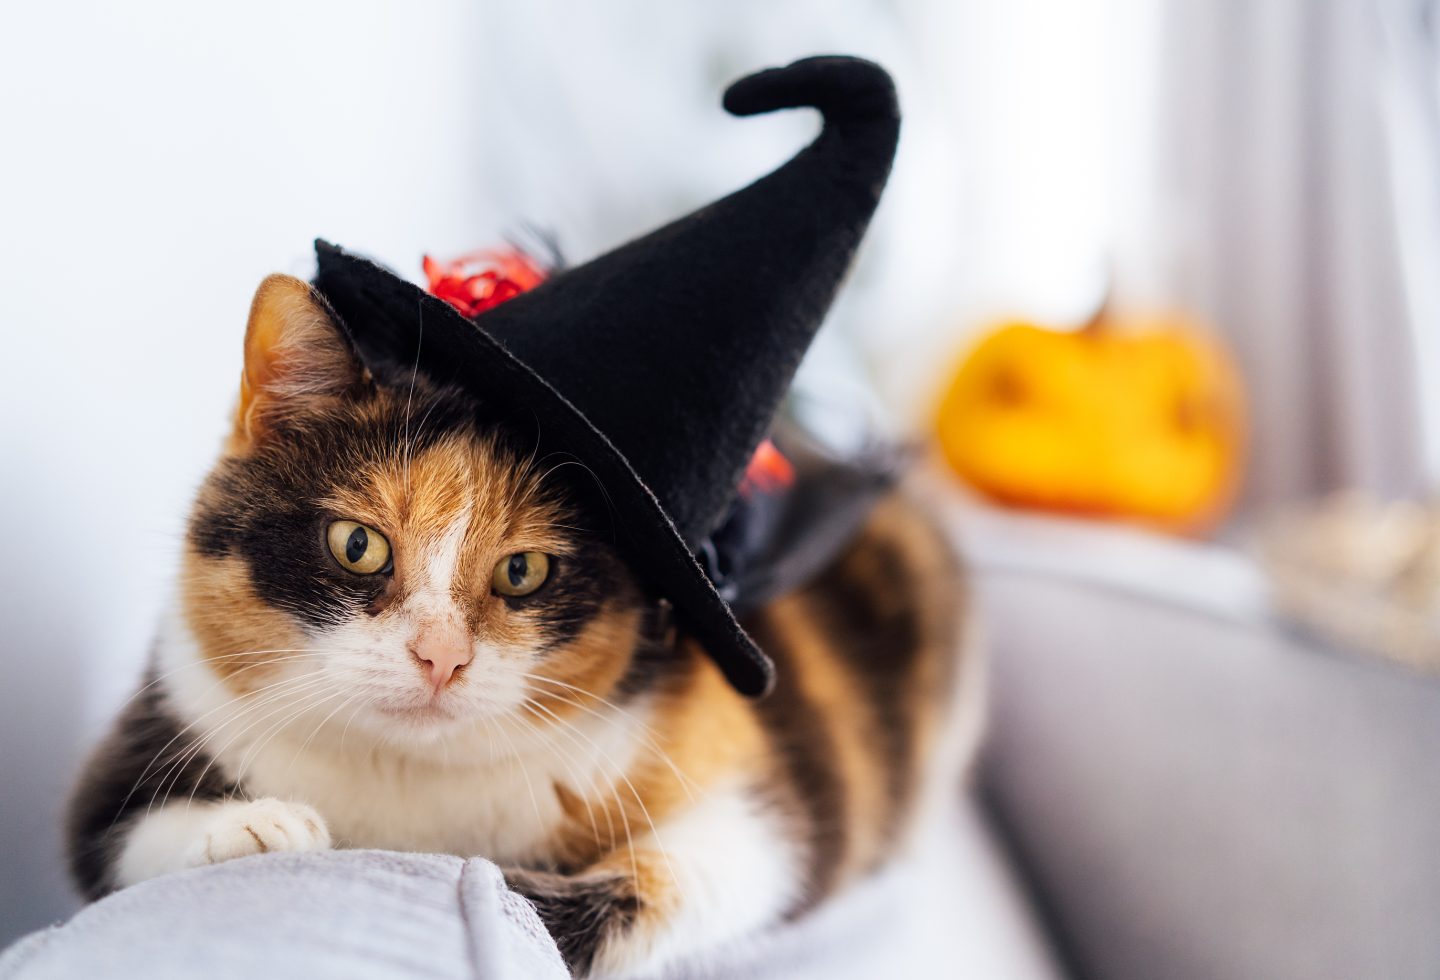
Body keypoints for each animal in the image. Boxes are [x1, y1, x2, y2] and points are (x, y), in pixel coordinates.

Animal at [64, 271, 979, 972]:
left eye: (523, 570)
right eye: (358, 544)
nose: (440, 657)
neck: (409, 777)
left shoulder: (767, 792)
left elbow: (705, 870)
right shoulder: (161, 724)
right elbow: (114, 838)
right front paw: (264, 826)